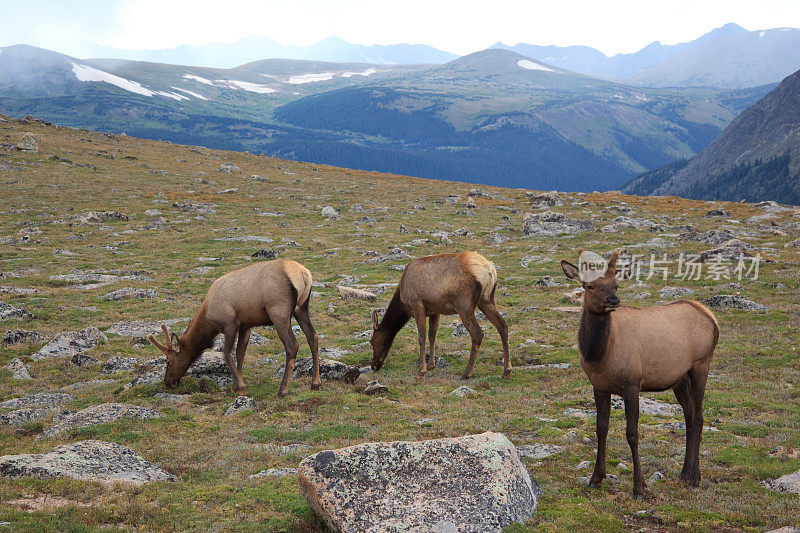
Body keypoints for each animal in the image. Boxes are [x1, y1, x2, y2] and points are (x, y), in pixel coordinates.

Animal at [148, 258, 318, 394]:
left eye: (168, 362)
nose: (168, 382)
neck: (208, 316)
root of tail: (304, 274)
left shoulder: (230, 323)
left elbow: (226, 352)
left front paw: (240, 386)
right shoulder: (246, 325)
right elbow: (240, 352)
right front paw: (236, 385)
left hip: (278, 310)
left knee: (292, 345)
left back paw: (282, 390)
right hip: (302, 308)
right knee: (313, 337)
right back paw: (315, 382)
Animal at [370, 252, 510, 380]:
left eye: (372, 342)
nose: (373, 366)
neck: (403, 305)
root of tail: (489, 269)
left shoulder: (417, 305)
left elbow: (422, 337)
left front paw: (421, 370)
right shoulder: (434, 310)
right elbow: (432, 335)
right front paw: (431, 365)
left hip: (464, 306)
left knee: (477, 333)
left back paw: (467, 373)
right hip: (486, 300)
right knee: (502, 325)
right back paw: (506, 371)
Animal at [564, 250, 720, 498]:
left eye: (616, 285)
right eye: (589, 286)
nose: (613, 301)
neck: (598, 354)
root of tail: (712, 319)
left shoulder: (632, 384)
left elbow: (632, 433)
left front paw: (639, 486)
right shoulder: (598, 386)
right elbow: (601, 428)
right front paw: (596, 478)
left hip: (701, 365)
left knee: (698, 417)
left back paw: (695, 476)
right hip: (679, 378)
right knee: (688, 415)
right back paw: (684, 473)